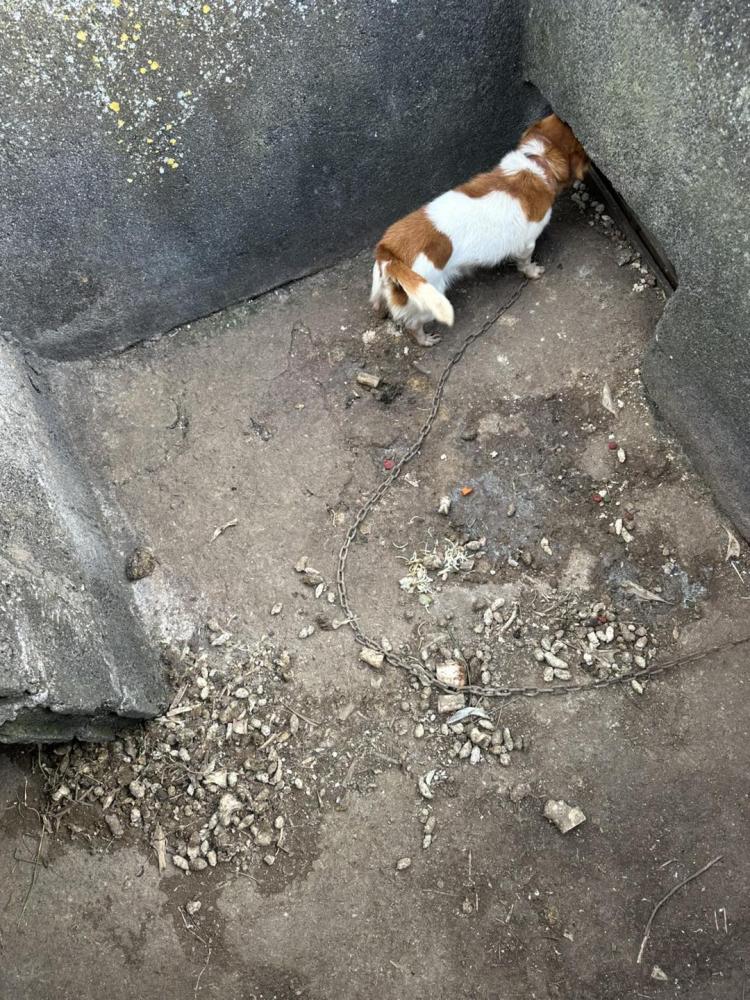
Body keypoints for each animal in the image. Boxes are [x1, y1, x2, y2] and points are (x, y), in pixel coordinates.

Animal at [374, 113, 592, 346]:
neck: (537, 160)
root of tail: (391, 254)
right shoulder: (527, 244)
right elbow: (525, 263)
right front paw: (532, 272)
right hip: (429, 300)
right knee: (413, 326)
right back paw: (425, 339)